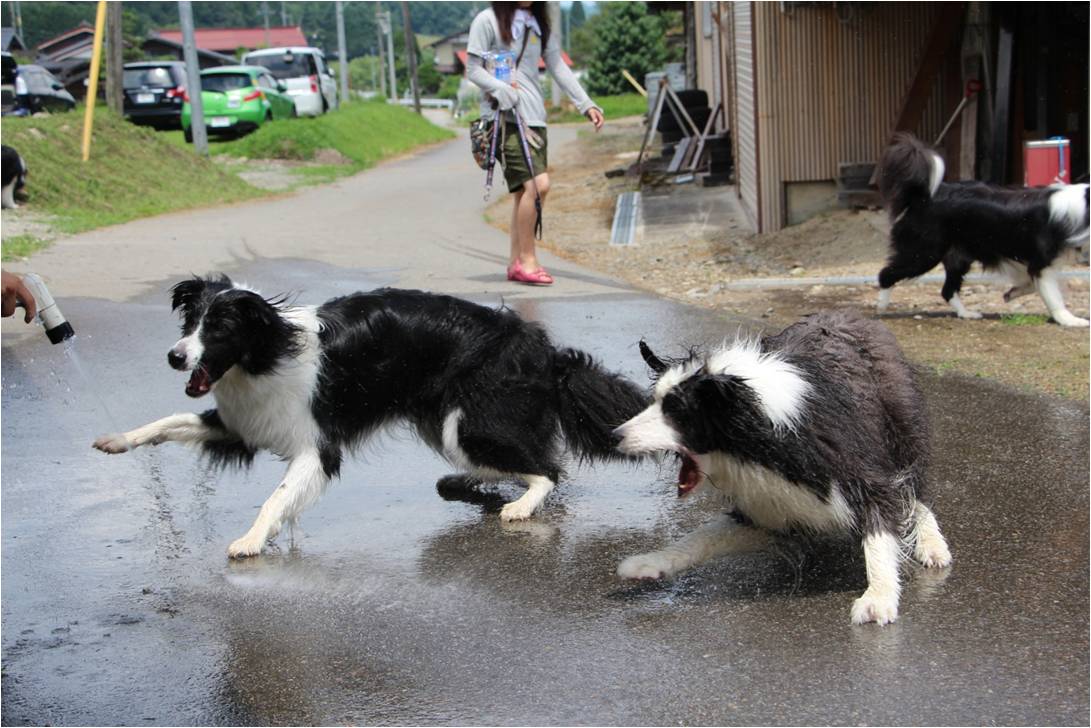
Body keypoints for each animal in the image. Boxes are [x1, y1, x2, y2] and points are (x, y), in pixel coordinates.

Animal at [93, 277, 645, 558]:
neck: (268, 350)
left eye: (220, 328)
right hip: (445, 423)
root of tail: (546, 351)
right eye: (190, 322)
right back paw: (469, 484)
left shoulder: (318, 447)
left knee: (547, 469)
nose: (174, 357)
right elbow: (166, 422)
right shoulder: (240, 425)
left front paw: (251, 540)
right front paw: (117, 440)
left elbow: (276, 498)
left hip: (464, 424)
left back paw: (520, 507)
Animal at [610, 309, 951, 628]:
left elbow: (880, 528)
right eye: (655, 402)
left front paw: (878, 597)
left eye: (676, 412)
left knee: (916, 496)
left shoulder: (860, 473)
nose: (615, 435)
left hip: (902, 430)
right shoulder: (769, 507)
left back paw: (932, 545)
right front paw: (651, 561)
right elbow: (701, 536)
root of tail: (853, 315)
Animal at [877, 130, 1091, 327]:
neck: (1083, 206)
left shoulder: (1034, 264)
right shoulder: (1042, 264)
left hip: (958, 257)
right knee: (886, 274)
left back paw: (966, 314)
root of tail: (922, 198)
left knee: (947, 290)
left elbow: (1031, 284)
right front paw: (1070, 320)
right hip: (924, 253)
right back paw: (881, 306)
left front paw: (1012, 293)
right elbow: (1053, 297)